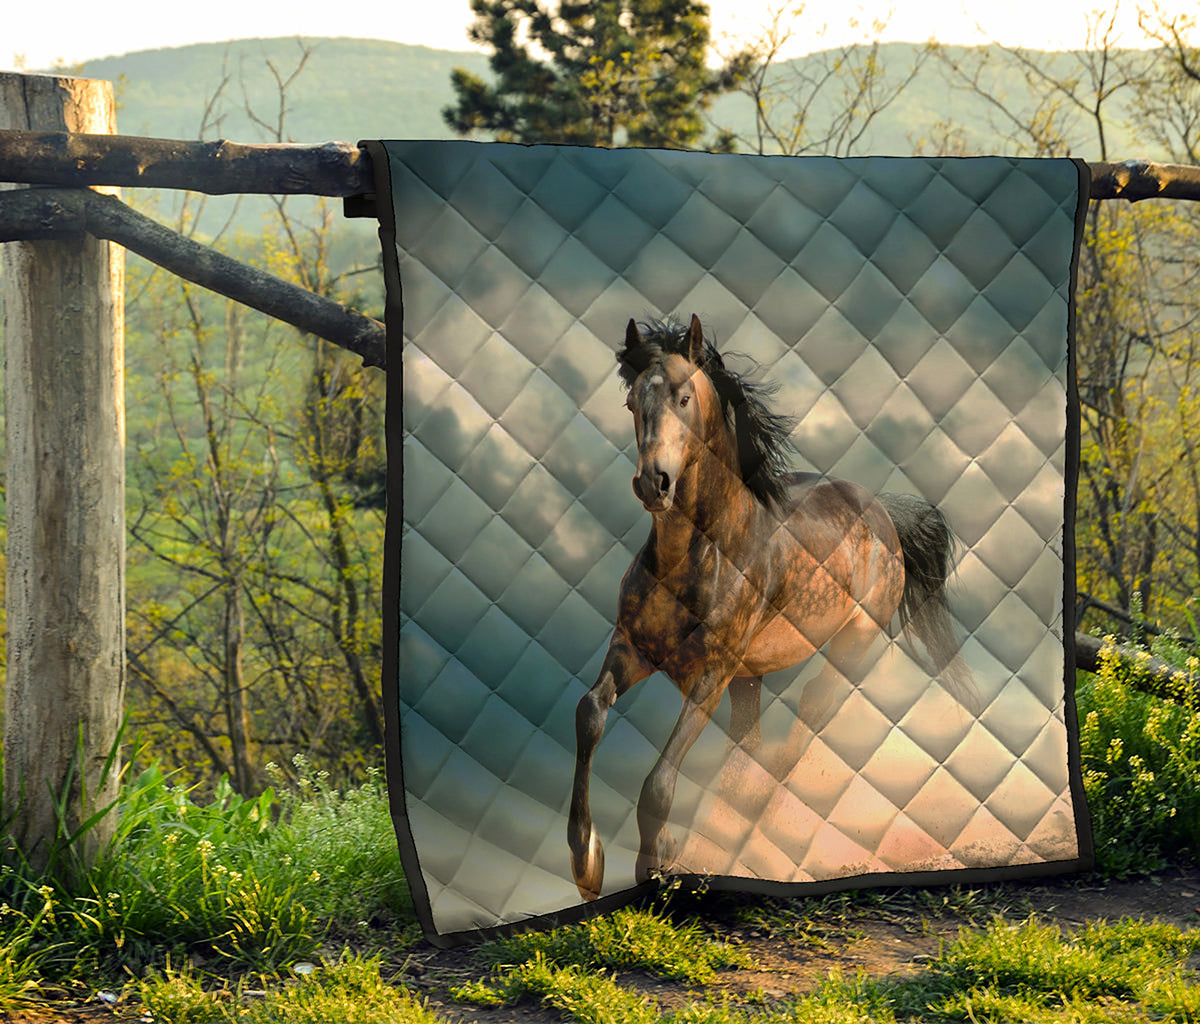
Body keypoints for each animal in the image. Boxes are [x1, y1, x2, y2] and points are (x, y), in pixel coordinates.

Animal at [566, 314, 974, 902]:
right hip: (749, 679)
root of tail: (882, 511)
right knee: (751, 747)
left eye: (684, 396)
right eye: (630, 401)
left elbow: (659, 781)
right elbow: (590, 712)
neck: (702, 553)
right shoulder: (633, 649)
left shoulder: (710, 673)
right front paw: (587, 862)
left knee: (799, 733)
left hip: (848, 650)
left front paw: (655, 865)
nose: (653, 483)